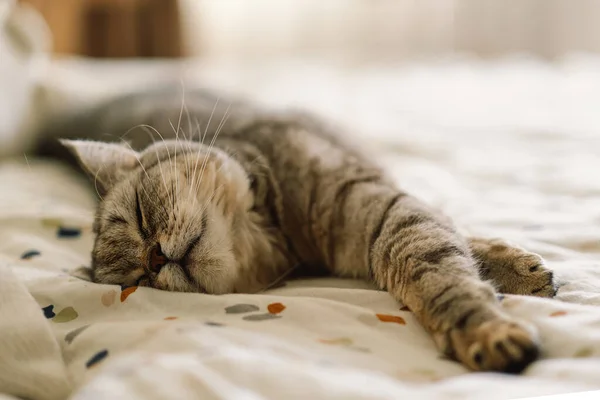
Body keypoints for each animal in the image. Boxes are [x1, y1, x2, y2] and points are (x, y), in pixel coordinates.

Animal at [35, 86, 556, 374]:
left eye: (141, 216)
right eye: (138, 282)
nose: (155, 258)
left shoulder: (380, 202)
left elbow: (443, 257)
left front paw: (502, 295)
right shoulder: (375, 229)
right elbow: (445, 253)